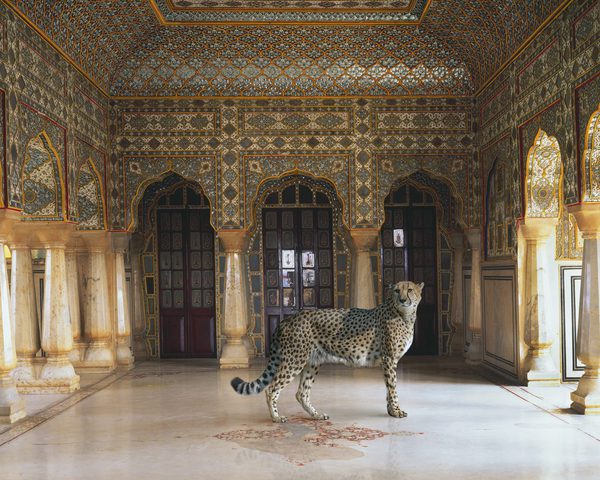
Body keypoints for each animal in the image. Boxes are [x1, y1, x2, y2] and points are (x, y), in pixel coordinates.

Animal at [230, 280, 422, 422]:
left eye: (410, 290)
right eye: (396, 291)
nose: (403, 300)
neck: (404, 315)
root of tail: (290, 318)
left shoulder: (388, 360)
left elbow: (389, 387)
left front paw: (391, 411)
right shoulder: (389, 358)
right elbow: (393, 387)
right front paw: (396, 411)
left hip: (312, 362)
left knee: (302, 393)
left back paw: (316, 415)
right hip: (294, 361)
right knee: (271, 388)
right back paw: (276, 418)